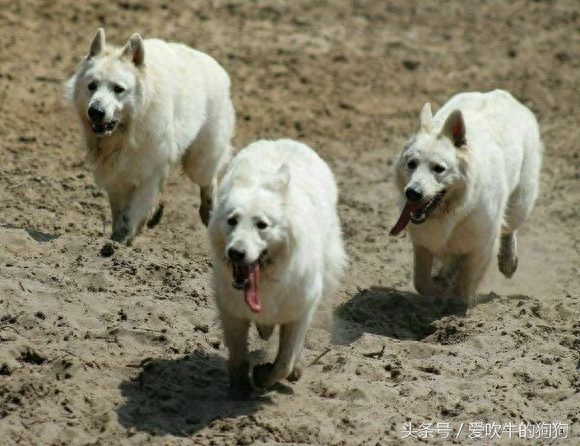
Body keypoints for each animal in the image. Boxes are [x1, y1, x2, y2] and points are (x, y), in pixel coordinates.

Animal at [64, 27, 233, 244]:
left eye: (118, 89)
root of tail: (214, 65)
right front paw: (117, 239)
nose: (95, 111)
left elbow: (132, 213)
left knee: (208, 180)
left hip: (199, 161)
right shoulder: (116, 176)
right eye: (91, 86)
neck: (129, 130)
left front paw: (118, 244)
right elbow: (120, 212)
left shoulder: (150, 172)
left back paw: (209, 211)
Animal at [211, 138, 346, 396]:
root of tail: (284, 141)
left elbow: (285, 362)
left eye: (261, 225)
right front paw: (240, 387)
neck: (266, 279)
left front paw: (264, 376)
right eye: (232, 220)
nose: (235, 253)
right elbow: (238, 355)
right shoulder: (232, 312)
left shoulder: (299, 313)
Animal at [392, 89, 540, 304]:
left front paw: (455, 305)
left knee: (510, 229)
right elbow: (421, 281)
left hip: (519, 205)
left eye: (439, 168)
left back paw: (508, 261)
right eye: (411, 164)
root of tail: (501, 94)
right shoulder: (423, 244)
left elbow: (464, 284)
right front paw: (439, 289)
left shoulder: (481, 246)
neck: (456, 208)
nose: (412, 193)